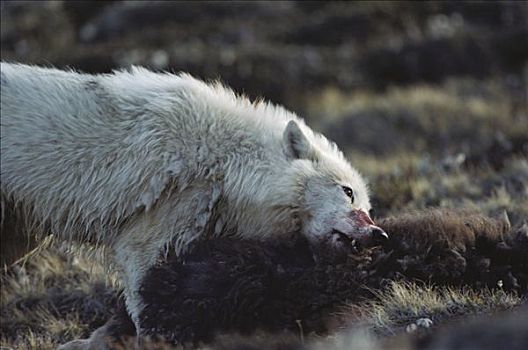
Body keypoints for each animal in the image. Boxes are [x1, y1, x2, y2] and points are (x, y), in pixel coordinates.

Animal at [1, 62, 388, 330]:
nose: (379, 234)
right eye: (347, 192)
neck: (228, 161)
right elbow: (143, 299)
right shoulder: (150, 231)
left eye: (368, 206)